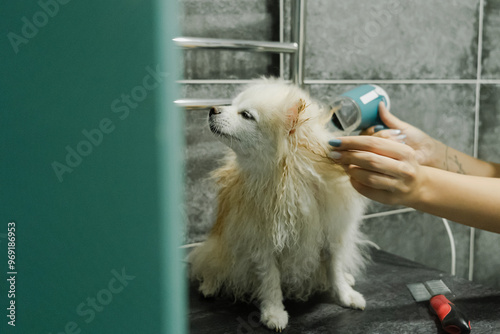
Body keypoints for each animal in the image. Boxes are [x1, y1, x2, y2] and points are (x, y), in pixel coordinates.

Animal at [189, 78, 370, 332]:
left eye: (246, 115)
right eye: (232, 105)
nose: (213, 109)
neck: (287, 178)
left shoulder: (331, 234)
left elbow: (334, 268)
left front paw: (345, 294)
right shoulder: (263, 244)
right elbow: (270, 281)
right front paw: (274, 313)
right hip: (221, 244)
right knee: (213, 262)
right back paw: (210, 285)